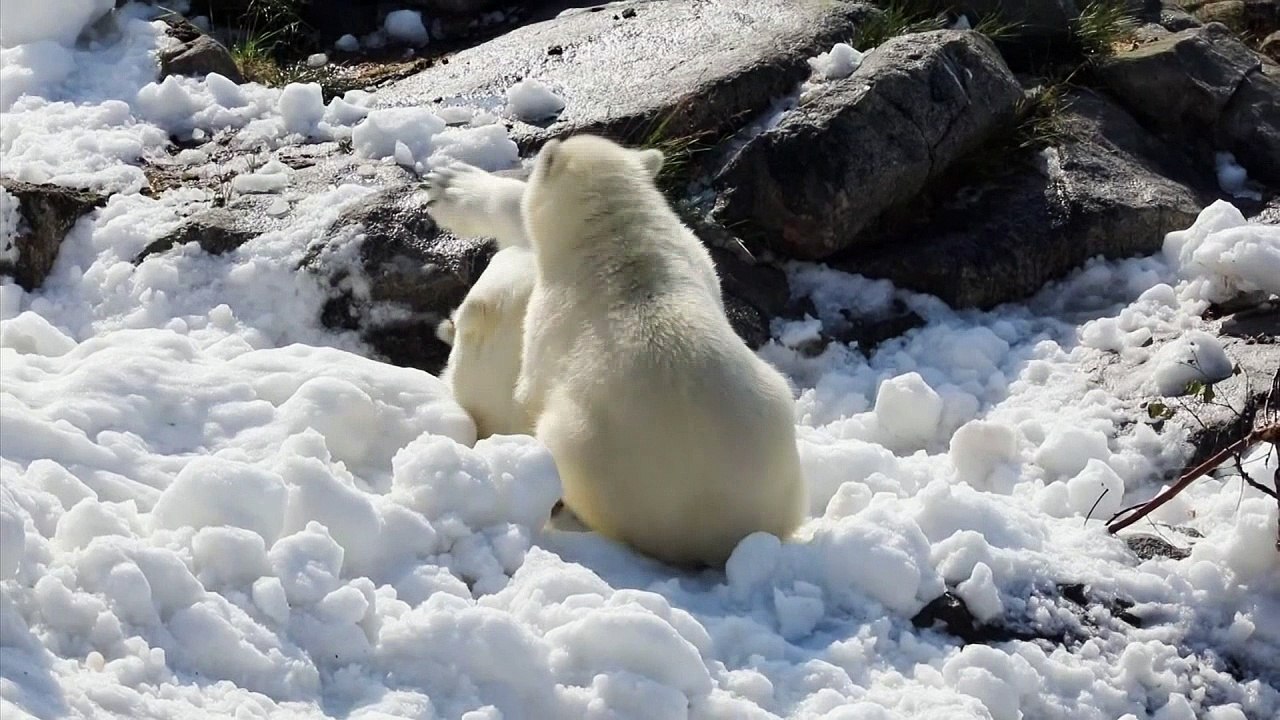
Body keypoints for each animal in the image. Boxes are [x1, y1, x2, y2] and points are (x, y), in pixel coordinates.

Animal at [514, 134, 806, 567]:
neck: (619, 240)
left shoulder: (549, 311)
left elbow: (529, 388)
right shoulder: (701, 259)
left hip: (595, 457)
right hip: (777, 418)